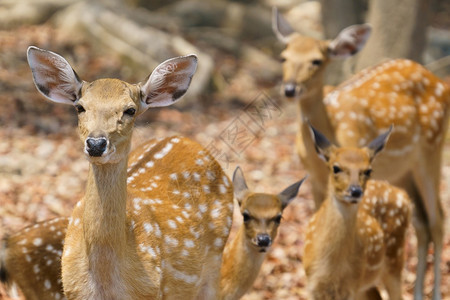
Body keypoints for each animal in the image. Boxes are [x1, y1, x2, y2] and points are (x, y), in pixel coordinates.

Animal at [22, 47, 236, 300]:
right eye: (80, 107)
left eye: (130, 110)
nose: (96, 144)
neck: (105, 282)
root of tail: (187, 140)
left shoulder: (152, 292)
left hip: (214, 258)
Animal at [304, 125, 414, 298]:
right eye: (336, 168)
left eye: (368, 170)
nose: (355, 191)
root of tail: (403, 195)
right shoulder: (313, 286)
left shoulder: (352, 287)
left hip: (394, 256)